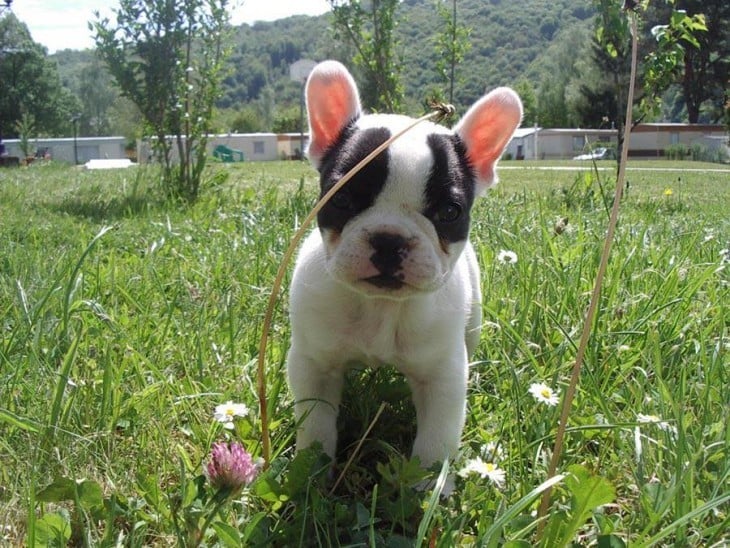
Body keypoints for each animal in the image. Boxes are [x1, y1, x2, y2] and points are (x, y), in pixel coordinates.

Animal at [288, 60, 520, 470]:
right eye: (341, 199)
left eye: (449, 212)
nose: (389, 238)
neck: (380, 307)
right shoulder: (314, 365)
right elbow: (315, 426)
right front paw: (312, 472)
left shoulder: (442, 377)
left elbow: (435, 443)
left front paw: (427, 483)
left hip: (472, 324)